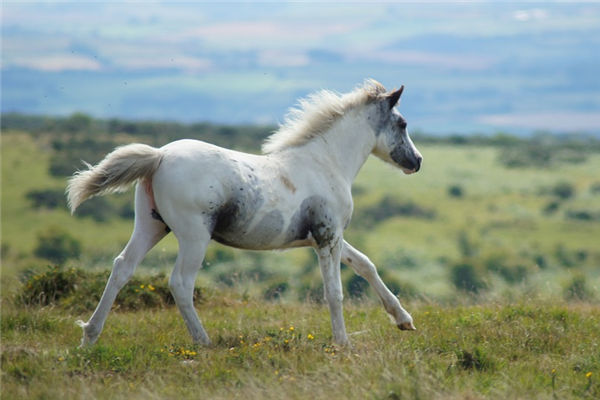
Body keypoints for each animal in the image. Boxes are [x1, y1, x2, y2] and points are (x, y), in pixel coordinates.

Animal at [67, 79, 422, 346]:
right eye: (402, 123)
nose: (417, 161)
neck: (326, 163)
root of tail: (159, 156)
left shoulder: (328, 237)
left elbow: (365, 264)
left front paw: (404, 320)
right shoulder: (327, 237)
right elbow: (334, 292)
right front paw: (342, 343)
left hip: (150, 225)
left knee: (122, 268)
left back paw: (89, 337)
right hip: (194, 236)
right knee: (180, 283)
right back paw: (203, 342)